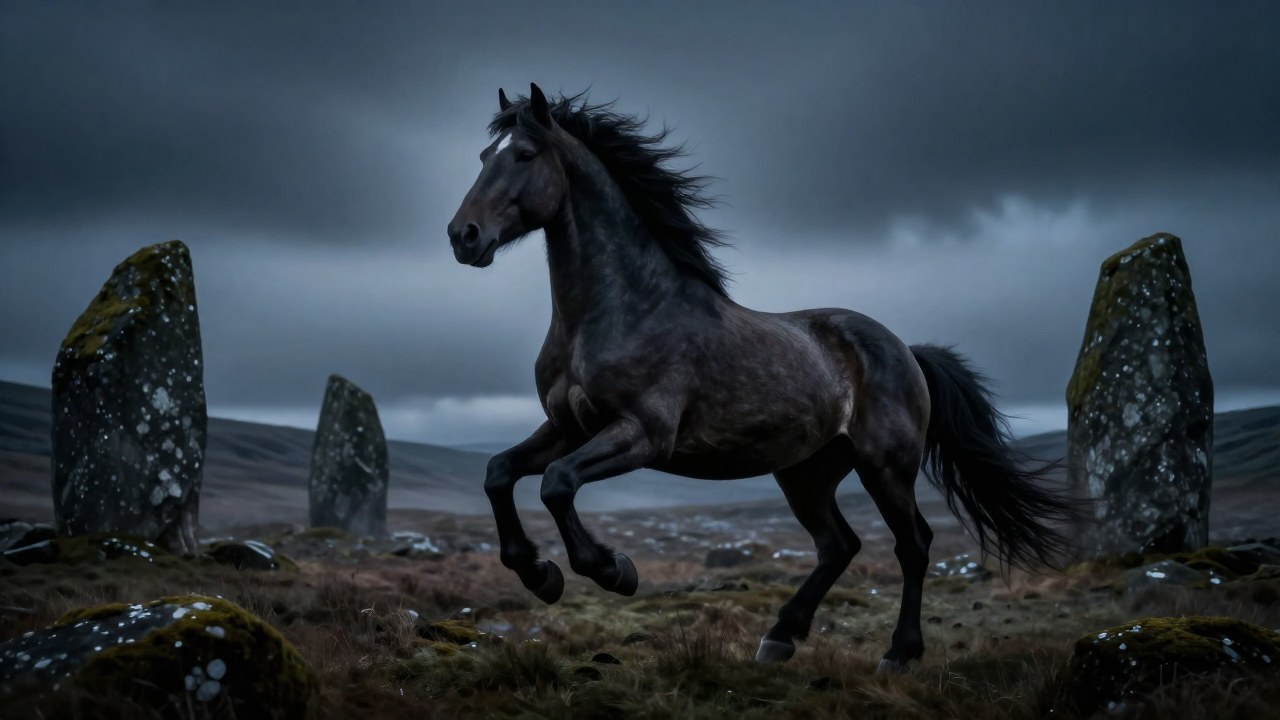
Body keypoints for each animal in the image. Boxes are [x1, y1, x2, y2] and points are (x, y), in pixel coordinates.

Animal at [446, 84, 1075, 671]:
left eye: (525, 154)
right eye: (482, 156)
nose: (463, 236)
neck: (623, 311)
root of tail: (906, 351)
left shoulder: (643, 434)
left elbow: (557, 483)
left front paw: (611, 570)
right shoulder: (567, 427)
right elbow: (499, 473)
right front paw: (539, 574)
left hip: (885, 465)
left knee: (912, 545)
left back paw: (898, 653)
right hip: (805, 472)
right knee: (838, 545)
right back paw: (779, 638)